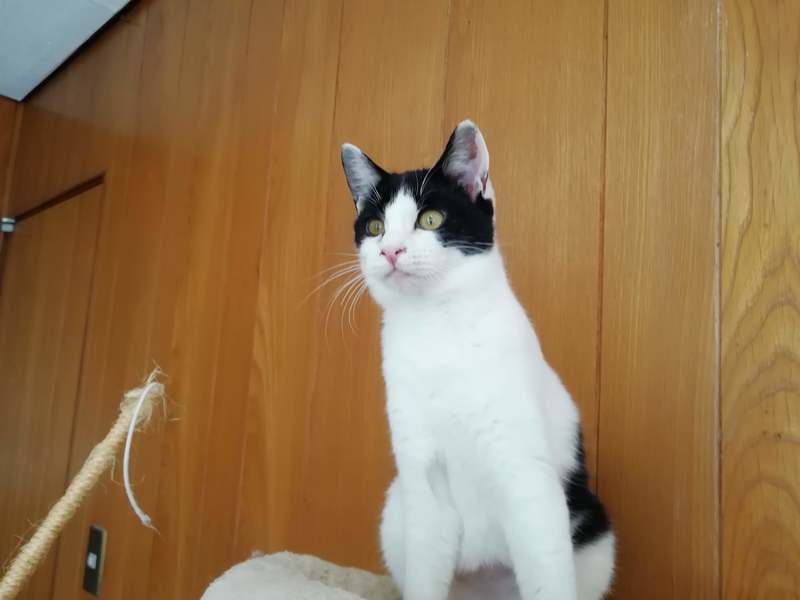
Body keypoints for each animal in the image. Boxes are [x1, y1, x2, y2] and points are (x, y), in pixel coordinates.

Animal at [340, 120, 615, 600]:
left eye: (430, 219)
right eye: (374, 227)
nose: (390, 250)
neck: (437, 327)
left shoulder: (527, 474)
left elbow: (545, 571)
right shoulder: (422, 478)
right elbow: (426, 572)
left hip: (594, 531)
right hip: (396, 508)